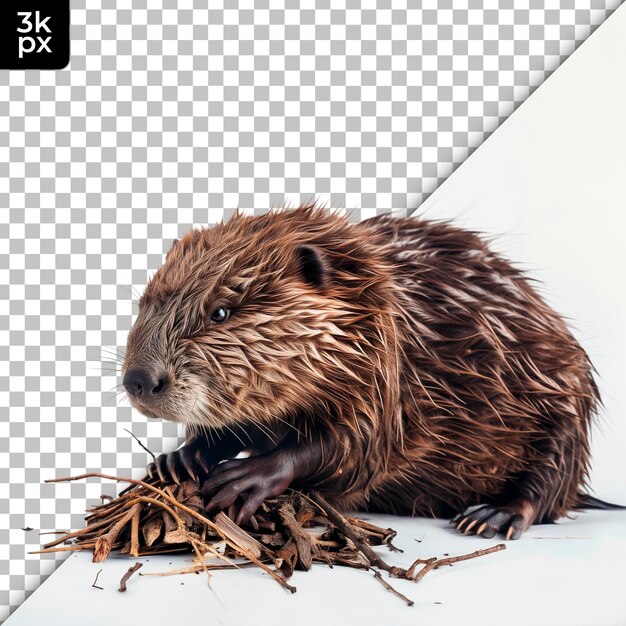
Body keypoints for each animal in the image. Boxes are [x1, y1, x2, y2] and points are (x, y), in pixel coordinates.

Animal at [123, 204, 616, 536]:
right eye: (146, 301)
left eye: (221, 312)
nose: (139, 380)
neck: (374, 295)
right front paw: (180, 458)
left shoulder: (392, 371)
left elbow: (359, 446)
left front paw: (243, 479)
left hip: (565, 407)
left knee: (546, 484)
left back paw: (490, 516)